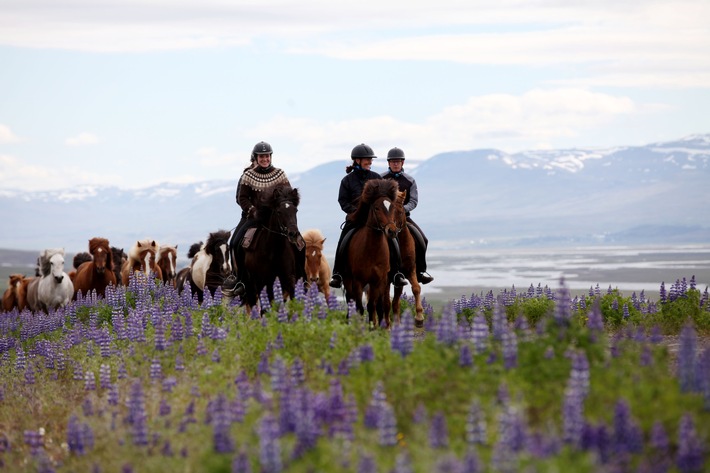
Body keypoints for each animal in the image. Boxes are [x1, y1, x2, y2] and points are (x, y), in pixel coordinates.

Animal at [346, 179, 404, 326]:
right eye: (377, 208)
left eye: (392, 207)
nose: (392, 231)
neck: (371, 250)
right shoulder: (358, 281)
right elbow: (360, 307)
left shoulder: (378, 281)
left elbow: (373, 306)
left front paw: (374, 328)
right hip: (348, 280)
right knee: (350, 300)